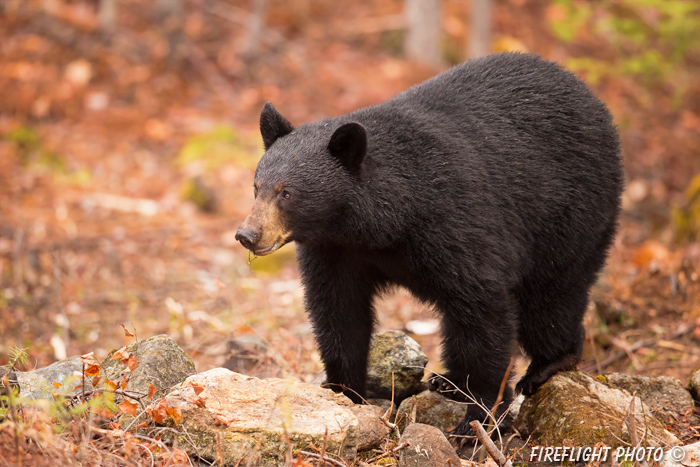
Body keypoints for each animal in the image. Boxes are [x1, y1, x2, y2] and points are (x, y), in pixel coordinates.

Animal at [235, 53, 624, 440]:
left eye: (287, 193)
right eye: (257, 186)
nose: (247, 234)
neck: (380, 222)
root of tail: (590, 97)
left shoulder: (455, 221)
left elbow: (483, 307)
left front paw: (477, 420)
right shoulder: (334, 250)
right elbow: (339, 311)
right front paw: (342, 390)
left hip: (571, 211)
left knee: (550, 295)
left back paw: (548, 363)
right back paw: (448, 381)